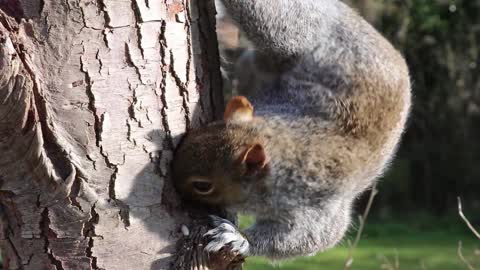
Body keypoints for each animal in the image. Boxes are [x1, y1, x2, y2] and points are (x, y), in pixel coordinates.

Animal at [172, 0, 408, 260]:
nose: (172, 184)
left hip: (293, 35)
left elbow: (312, 237)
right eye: (202, 129)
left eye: (203, 186)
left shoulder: (317, 205)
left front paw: (239, 238)